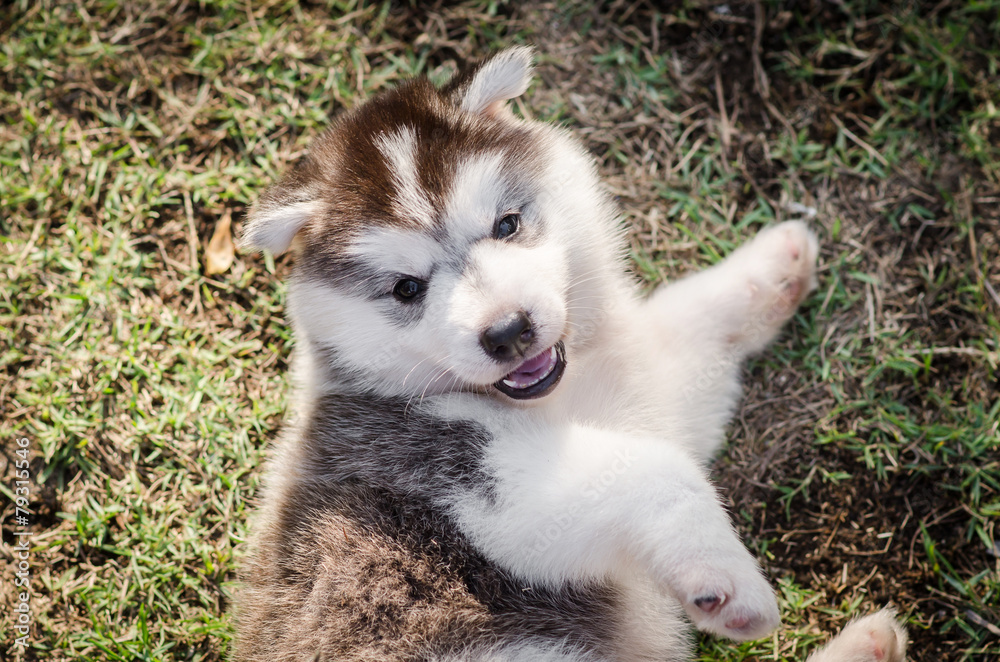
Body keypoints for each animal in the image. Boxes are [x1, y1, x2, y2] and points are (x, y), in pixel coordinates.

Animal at [238, 48, 912, 662]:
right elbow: (658, 472)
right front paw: (726, 578)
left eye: (506, 225)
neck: (561, 399)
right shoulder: (446, 467)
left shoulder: (646, 393)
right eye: (407, 288)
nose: (508, 332)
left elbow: (683, 329)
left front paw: (771, 266)